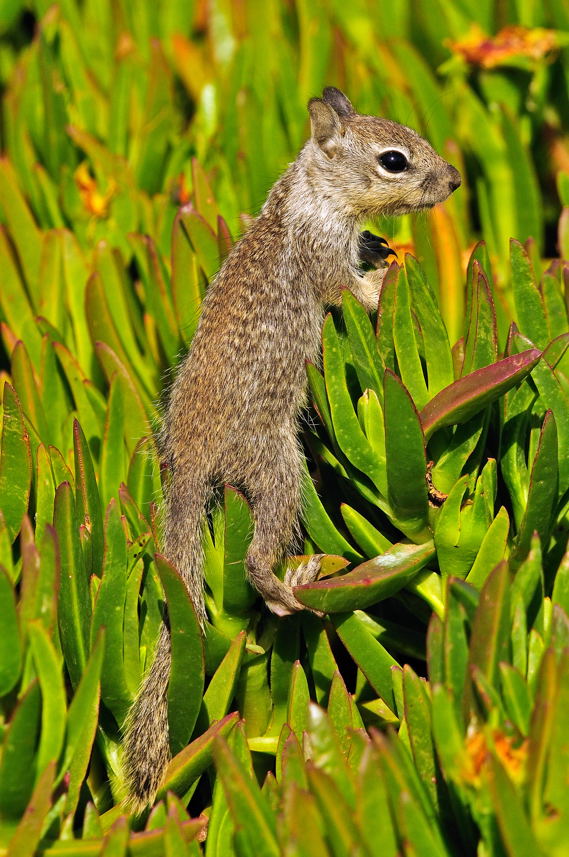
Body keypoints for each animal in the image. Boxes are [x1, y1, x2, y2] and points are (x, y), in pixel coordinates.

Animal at [122, 85, 460, 808]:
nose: (450, 181)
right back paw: (285, 588)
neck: (305, 193)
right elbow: (352, 291)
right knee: (253, 557)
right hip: (277, 467)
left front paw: (384, 246)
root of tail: (188, 464)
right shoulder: (323, 258)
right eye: (394, 160)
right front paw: (385, 276)